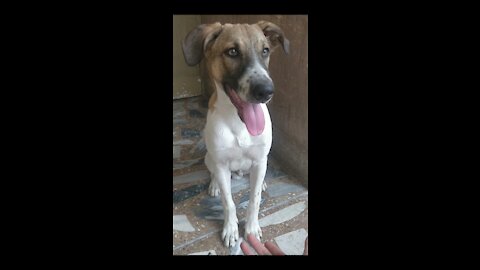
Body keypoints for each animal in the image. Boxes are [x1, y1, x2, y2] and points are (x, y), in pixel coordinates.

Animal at [182, 20, 288, 247]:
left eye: (265, 50)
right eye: (232, 52)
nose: (266, 92)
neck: (240, 124)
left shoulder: (260, 159)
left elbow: (254, 199)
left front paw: (251, 229)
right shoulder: (222, 163)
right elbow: (228, 201)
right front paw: (231, 230)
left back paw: (262, 182)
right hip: (209, 157)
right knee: (214, 172)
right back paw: (214, 185)